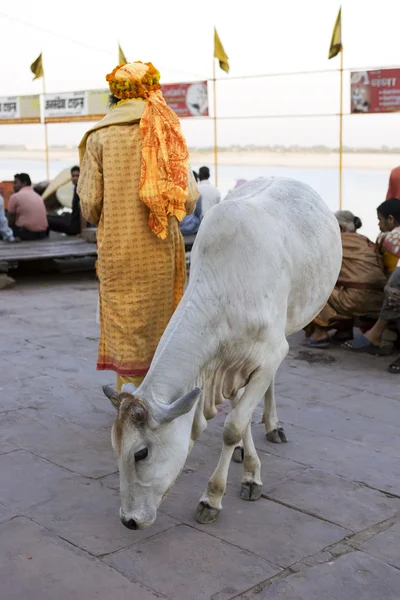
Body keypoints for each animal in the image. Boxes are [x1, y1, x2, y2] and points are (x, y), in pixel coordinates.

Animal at [102, 177, 340, 528]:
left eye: (141, 453)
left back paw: (273, 426)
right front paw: (249, 466)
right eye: (115, 448)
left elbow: (233, 426)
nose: (128, 520)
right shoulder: (228, 366)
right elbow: (240, 416)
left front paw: (214, 496)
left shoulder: (269, 355)